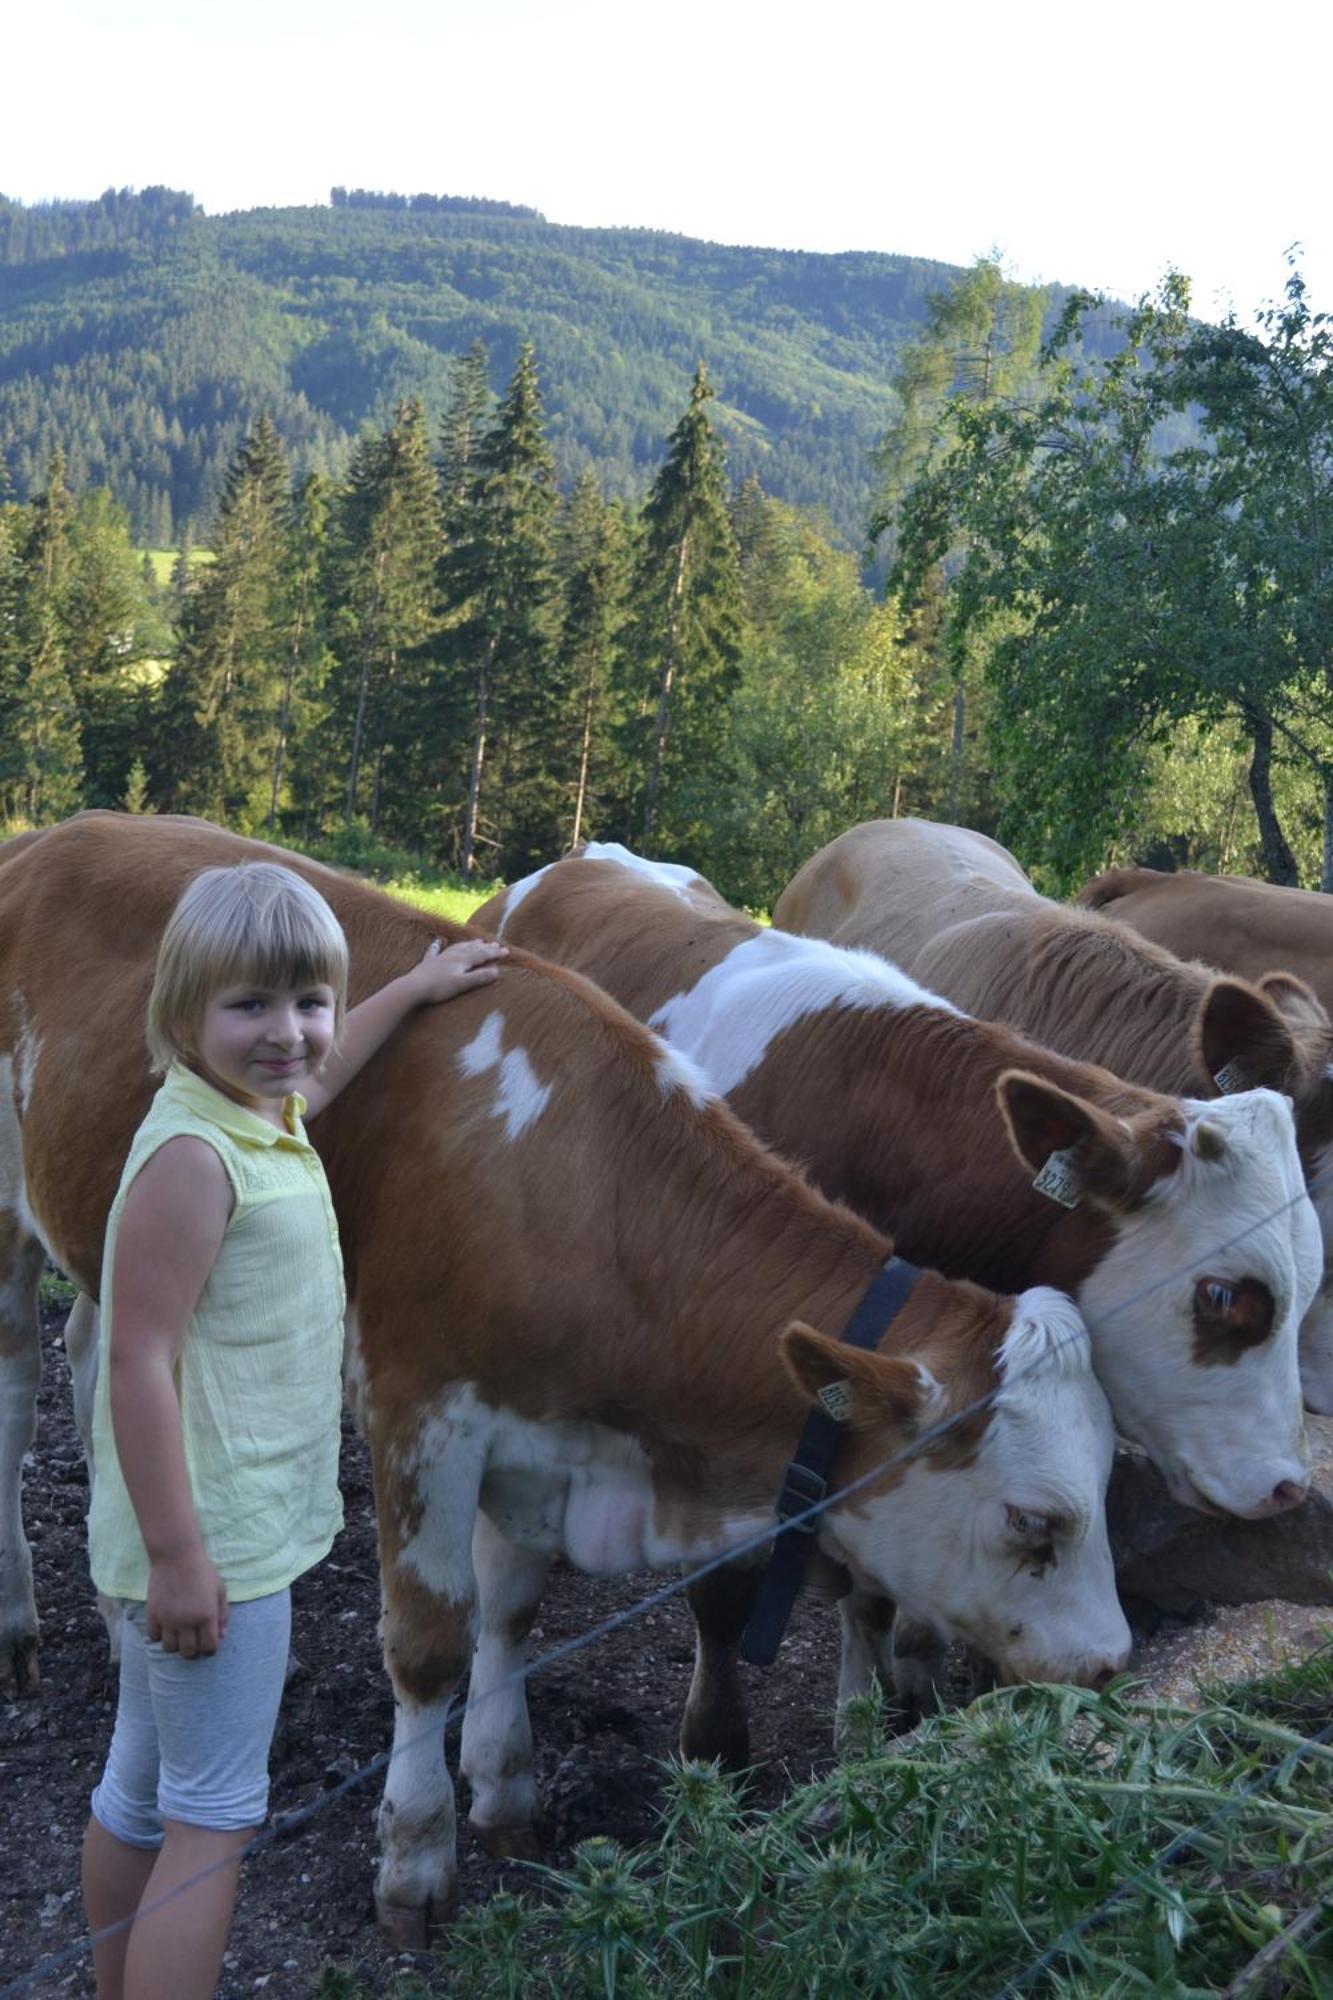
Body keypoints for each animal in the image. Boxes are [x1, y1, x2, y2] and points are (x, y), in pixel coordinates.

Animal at [0, 812, 1128, 1936]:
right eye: (1033, 1519)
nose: (1112, 1665)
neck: (587, 1189)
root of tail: (61, 831)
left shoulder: (538, 1428)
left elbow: (509, 1608)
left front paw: (506, 1789)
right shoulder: (421, 1410)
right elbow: (431, 1638)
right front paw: (416, 1856)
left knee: (107, 1375)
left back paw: (122, 1623)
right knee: (19, 1403)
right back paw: (23, 1624)